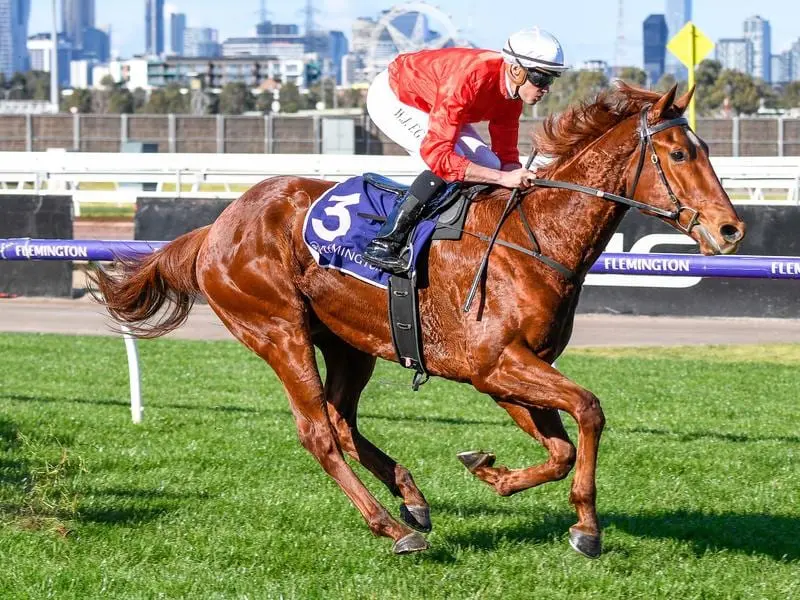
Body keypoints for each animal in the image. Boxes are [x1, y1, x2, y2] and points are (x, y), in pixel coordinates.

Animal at [87, 83, 744, 556]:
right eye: (680, 152)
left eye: (708, 150)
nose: (730, 229)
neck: (535, 239)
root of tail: (216, 227)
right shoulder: (494, 365)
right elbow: (589, 409)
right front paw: (587, 529)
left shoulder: (511, 373)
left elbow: (559, 449)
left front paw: (493, 474)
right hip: (278, 331)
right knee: (318, 432)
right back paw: (392, 526)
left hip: (349, 342)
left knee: (341, 420)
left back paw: (413, 499)